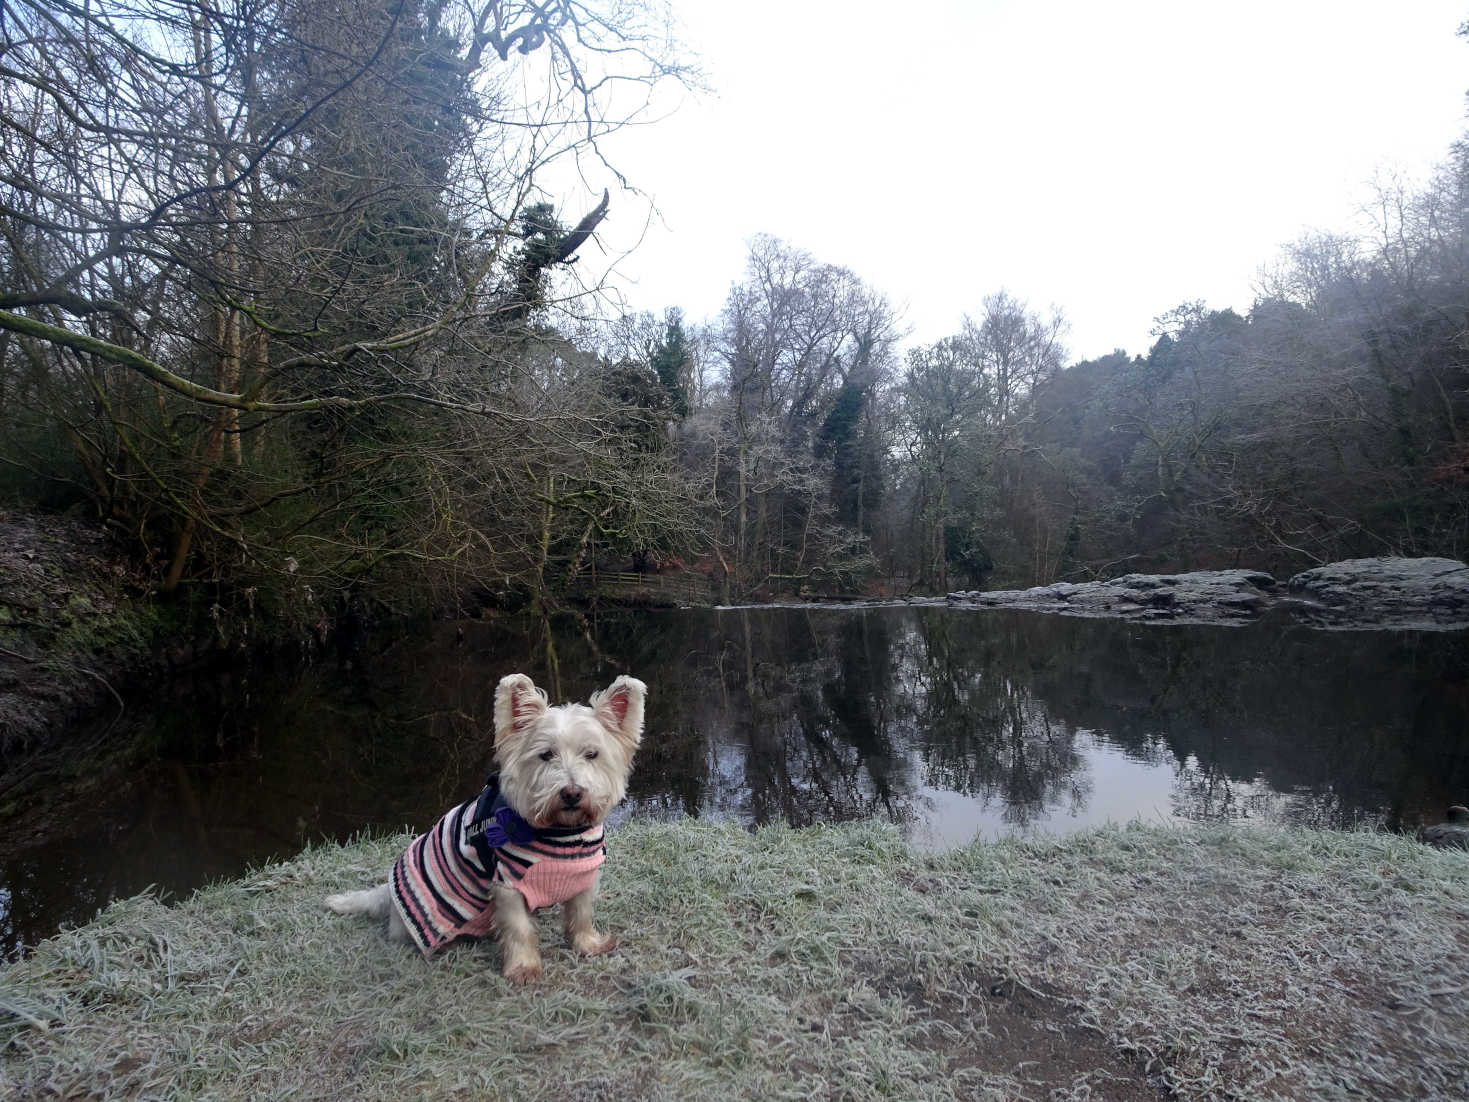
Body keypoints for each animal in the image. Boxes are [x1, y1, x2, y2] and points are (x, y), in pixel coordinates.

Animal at [327, 678, 649, 987]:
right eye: (546, 755)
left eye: (592, 754)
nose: (572, 793)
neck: (562, 834)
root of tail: (389, 893)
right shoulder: (507, 883)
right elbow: (518, 928)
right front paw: (523, 968)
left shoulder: (584, 875)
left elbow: (581, 913)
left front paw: (588, 944)